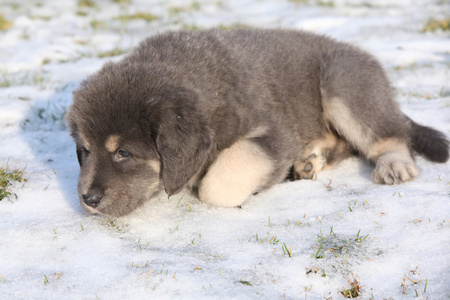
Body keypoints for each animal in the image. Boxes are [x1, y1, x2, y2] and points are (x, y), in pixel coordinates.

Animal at [65, 29, 448, 217]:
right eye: (84, 151)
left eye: (124, 153)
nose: (88, 199)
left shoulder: (274, 134)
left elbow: (220, 181)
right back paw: (309, 160)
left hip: (343, 82)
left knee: (390, 134)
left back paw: (393, 165)